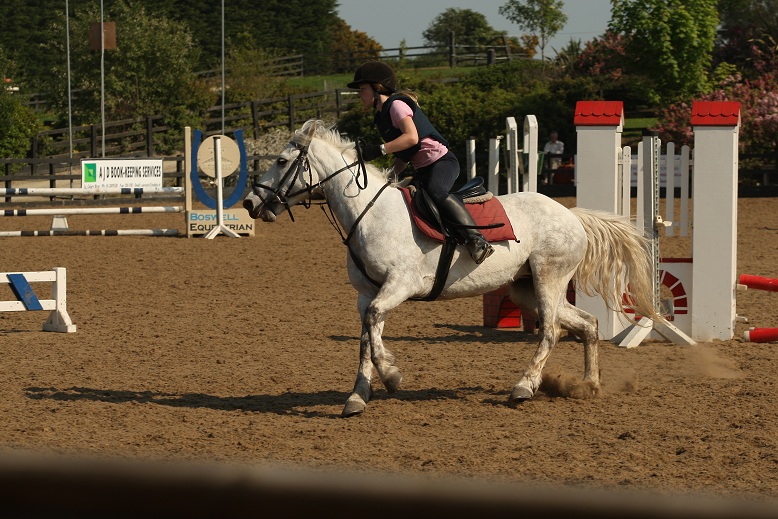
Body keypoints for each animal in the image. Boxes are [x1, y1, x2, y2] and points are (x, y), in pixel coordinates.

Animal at [244, 119, 659, 418]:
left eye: (281, 161)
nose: (249, 202)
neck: (369, 214)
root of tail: (571, 214)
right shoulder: (367, 294)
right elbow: (366, 336)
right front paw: (359, 396)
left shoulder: (399, 285)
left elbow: (374, 327)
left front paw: (392, 376)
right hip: (524, 288)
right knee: (587, 324)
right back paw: (588, 385)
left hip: (549, 279)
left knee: (552, 331)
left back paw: (524, 386)